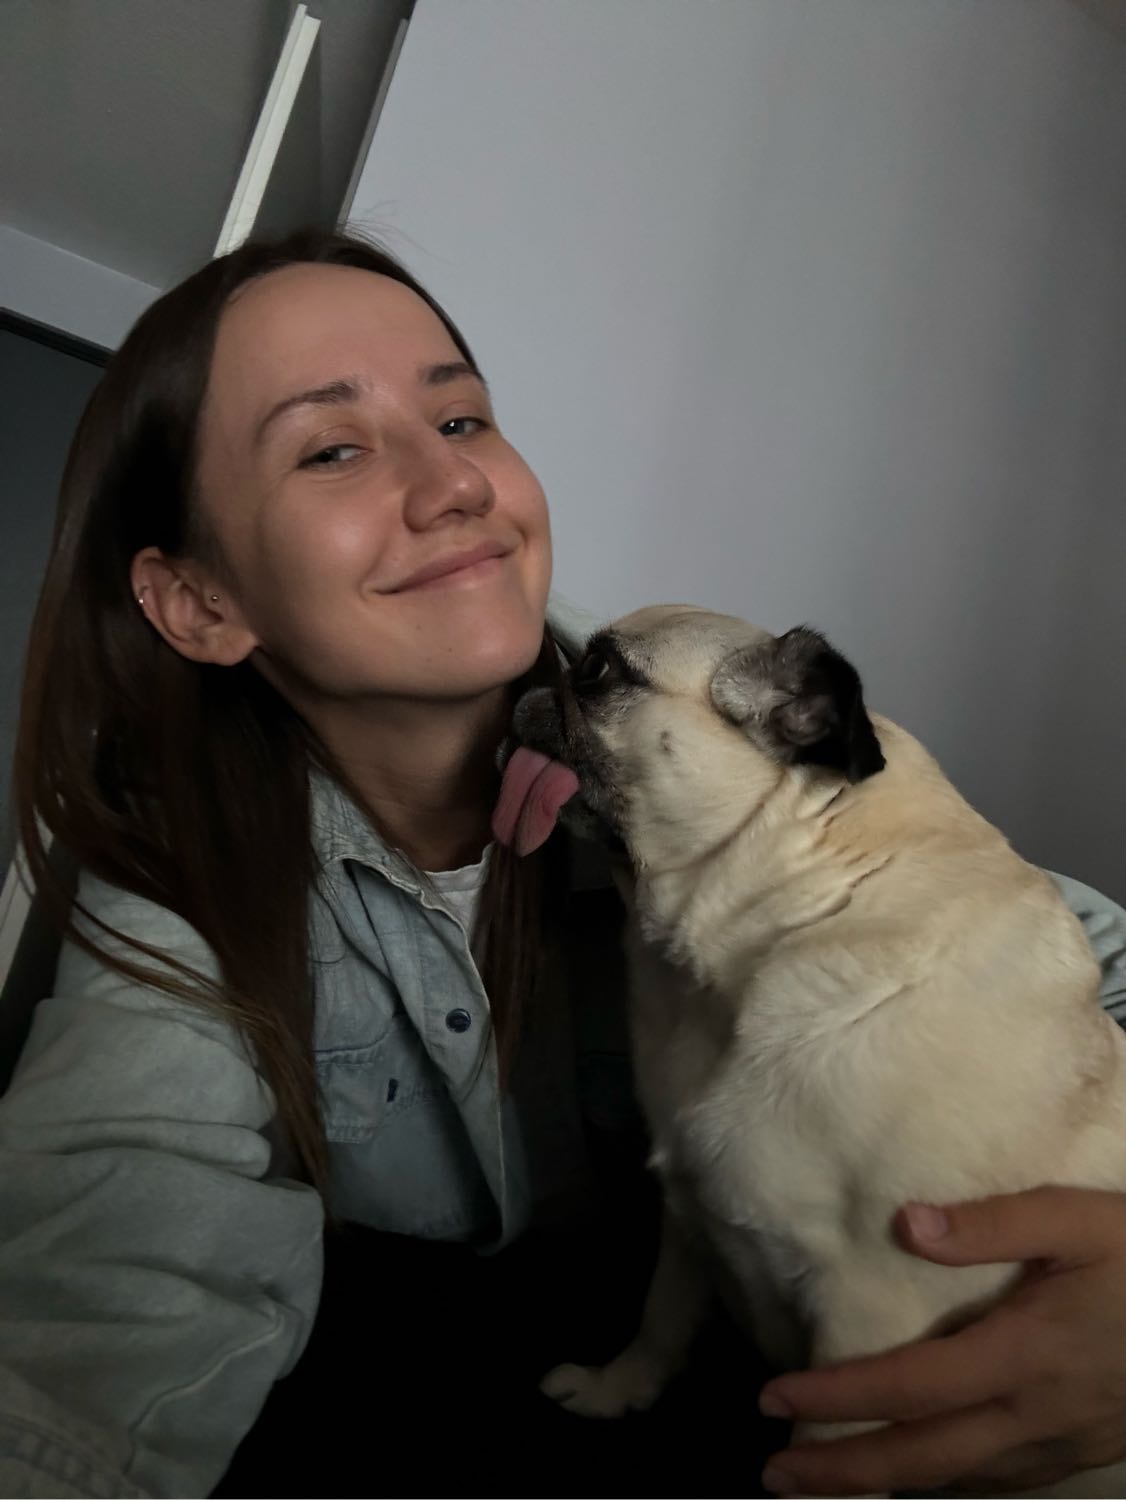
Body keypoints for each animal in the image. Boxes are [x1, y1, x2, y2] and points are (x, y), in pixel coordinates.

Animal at [492, 605, 1126, 1499]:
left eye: (599, 672)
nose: (529, 683)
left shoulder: (867, 1324)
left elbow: (819, 1453)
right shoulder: (688, 1212)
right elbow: (662, 1316)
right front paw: (619, 1390)